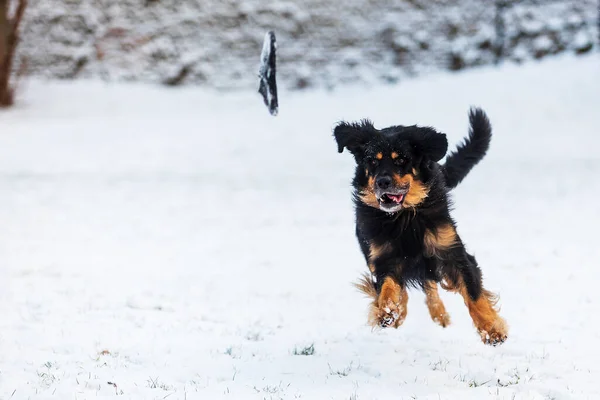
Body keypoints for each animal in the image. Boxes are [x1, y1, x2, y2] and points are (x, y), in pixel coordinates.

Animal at [336, 108, 508, 346]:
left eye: (401, 160)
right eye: (372, 161)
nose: (382, 182)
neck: (403, 217)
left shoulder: (451, 251)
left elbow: (473, 293)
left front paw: (491, 329)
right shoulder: (383, 257)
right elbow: (388, 287)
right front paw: (386, 311)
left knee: (431, 285)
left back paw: (439, 314)